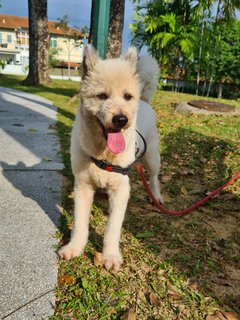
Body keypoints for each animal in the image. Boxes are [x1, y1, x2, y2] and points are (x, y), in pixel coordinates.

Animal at [58, 45, 163, 270]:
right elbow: (80, 223)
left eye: (127, 96)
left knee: (154, 177)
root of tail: (144, 101)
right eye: (102, 95)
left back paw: (156, 195)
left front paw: (111, 255)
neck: (103, 154)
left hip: (152, 157)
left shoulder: (121, 189)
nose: (121, 119)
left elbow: (113, 228)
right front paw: (74, 247)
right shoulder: (82, 187)